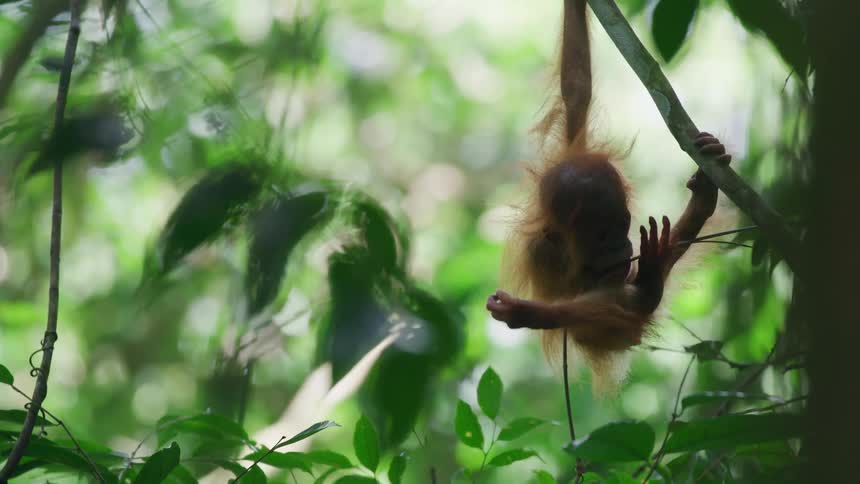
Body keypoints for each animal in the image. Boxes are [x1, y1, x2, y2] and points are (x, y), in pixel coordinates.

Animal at [485, 0, 731, 382]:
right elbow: (584, 311)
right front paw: (526, 312)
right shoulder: (543, 256)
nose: (620, 246)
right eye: (600, 236)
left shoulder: (575, 148)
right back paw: (649, 283)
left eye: (622, 224)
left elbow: (576, 87)